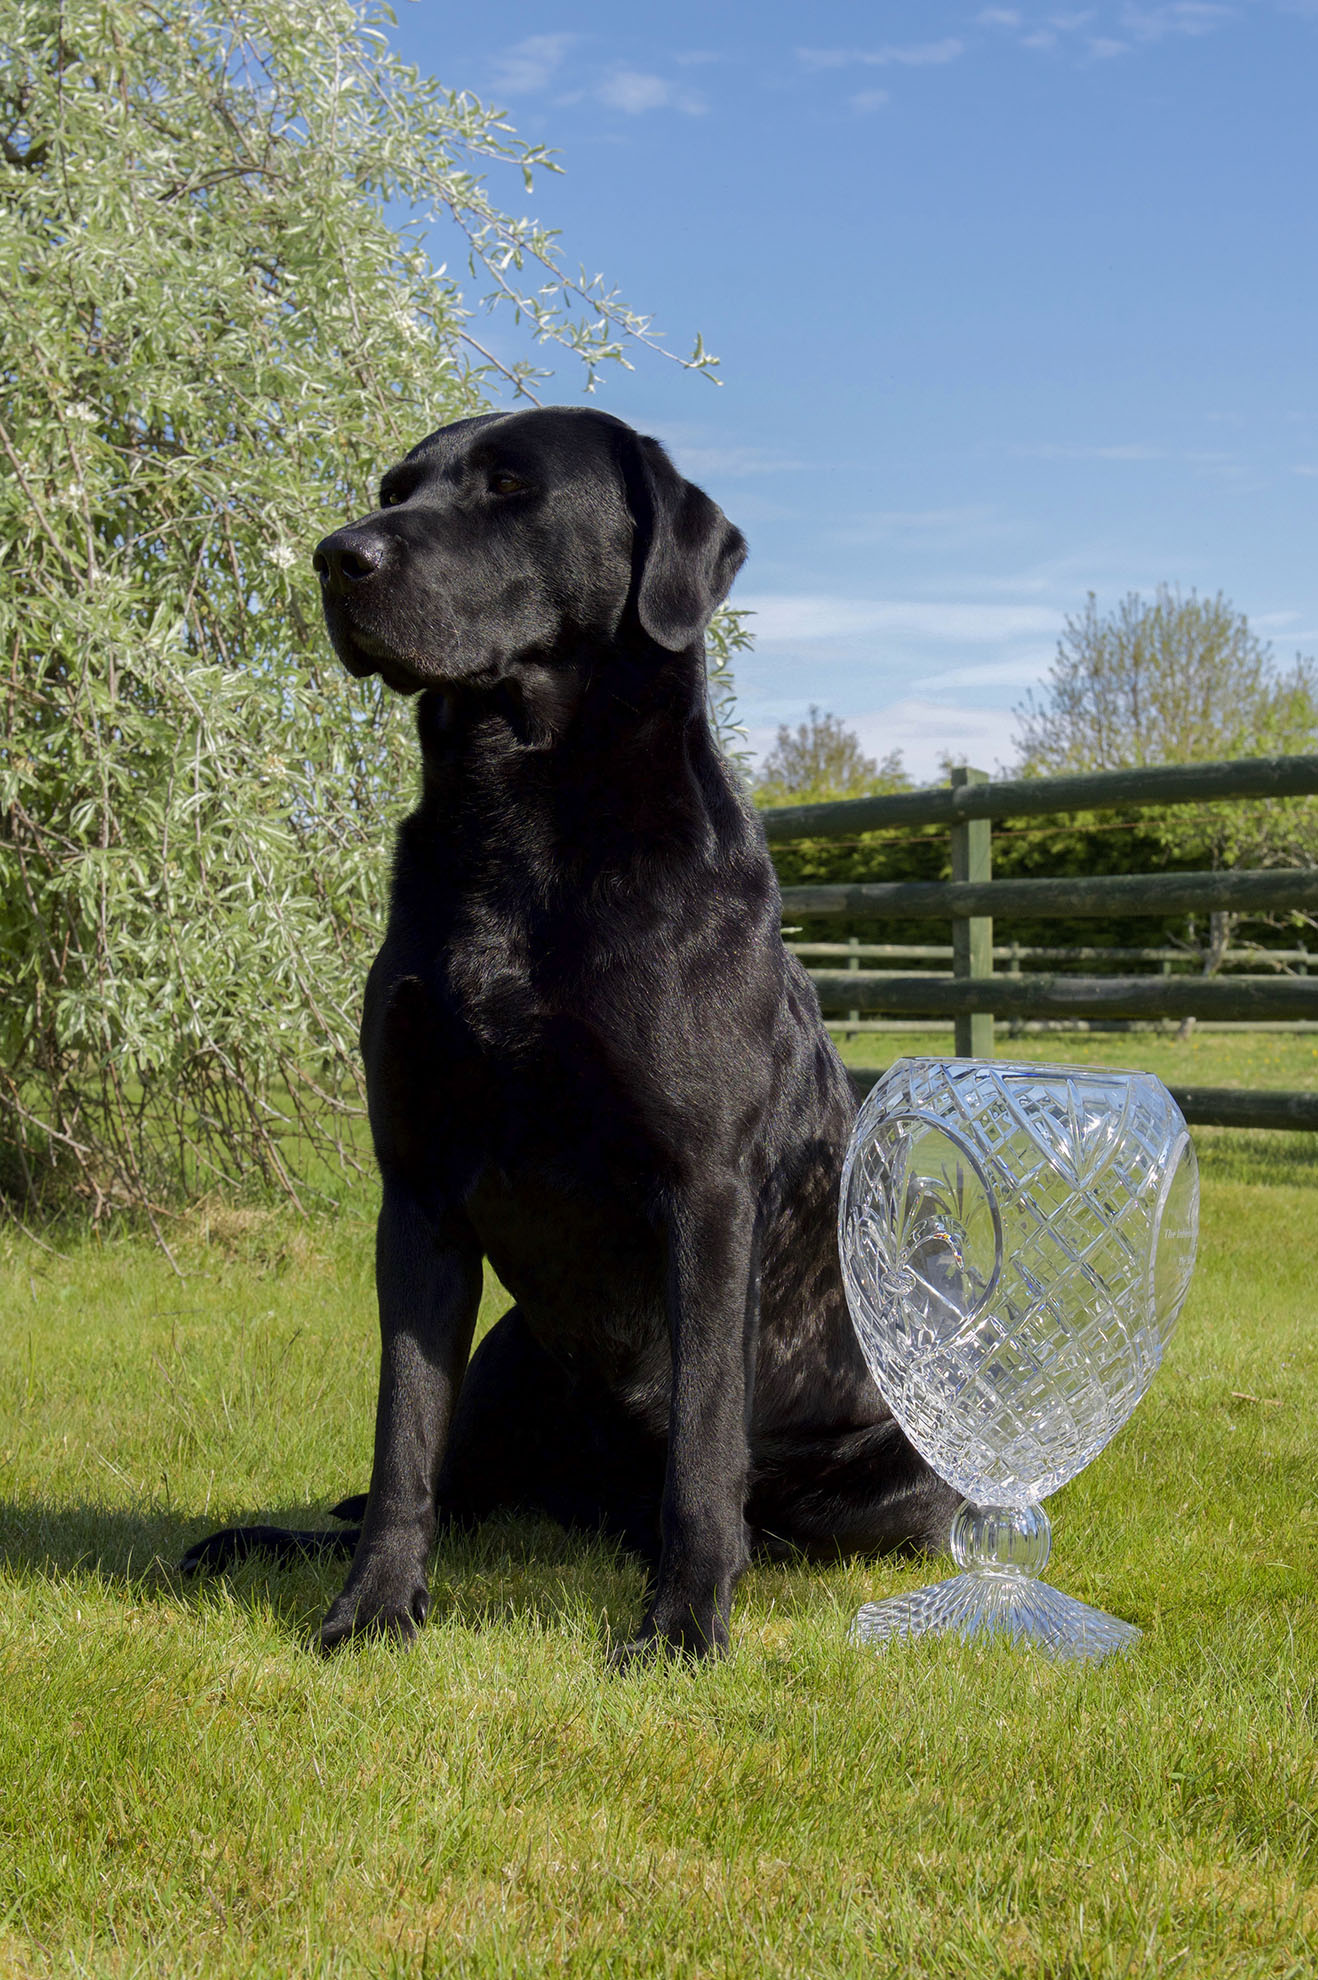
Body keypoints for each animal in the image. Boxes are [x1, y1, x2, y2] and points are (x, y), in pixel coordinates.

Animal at [180, 409, 949, 1663]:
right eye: (393, 488)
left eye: (509, 488)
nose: (339, 557)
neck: (514, 822)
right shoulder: (419, 1193)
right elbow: (400, 1442)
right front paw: (372, 1609)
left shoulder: (705, 1188)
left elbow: (703, 1442)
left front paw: (684, 1624)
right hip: (512, 1357)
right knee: (454, 1484)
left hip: (898, 1475)